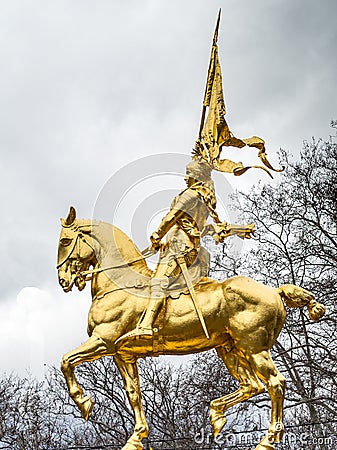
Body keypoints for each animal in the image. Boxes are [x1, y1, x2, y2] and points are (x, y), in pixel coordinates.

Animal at [56, 207, 324, 450]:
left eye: (65, 240)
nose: (62, 280)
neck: (120, 282)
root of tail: (274, 291)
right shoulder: (123, 355)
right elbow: (134, 393)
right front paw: (136, 438)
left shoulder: (103, 341)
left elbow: (66, 360)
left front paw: (84, 402)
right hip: (229, 349)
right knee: (252, 385)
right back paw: (216, 415)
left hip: (255, 349)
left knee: (275, 384)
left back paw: (267, 440)